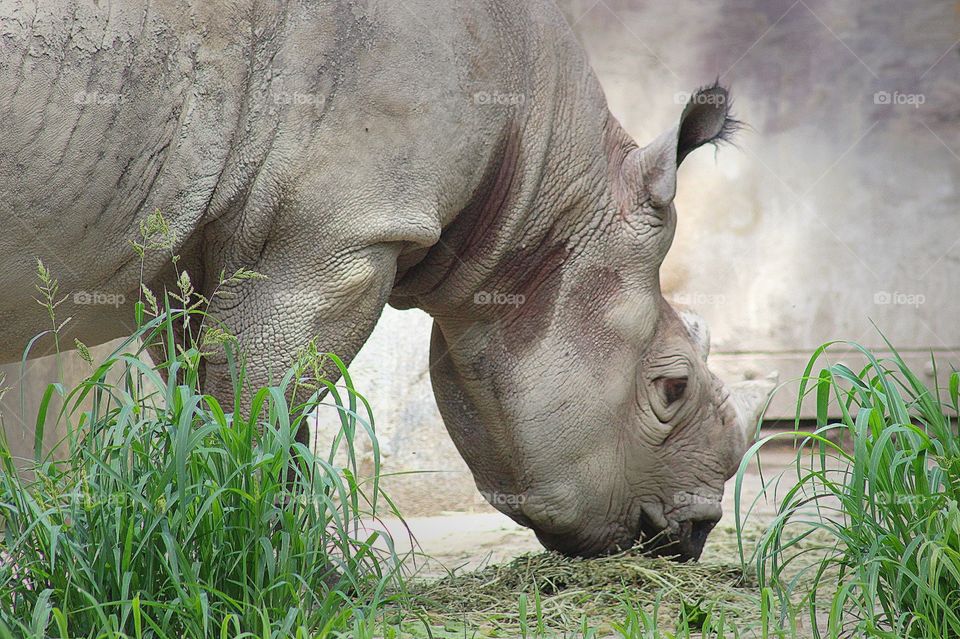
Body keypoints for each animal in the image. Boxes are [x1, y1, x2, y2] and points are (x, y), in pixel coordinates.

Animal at [0, 0, 776, 560]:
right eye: (671, 388)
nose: (695, 536)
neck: (534, 197)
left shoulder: (193, 262)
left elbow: (217, 401)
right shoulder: (340, 232)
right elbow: (260, 419)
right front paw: (287, 570)